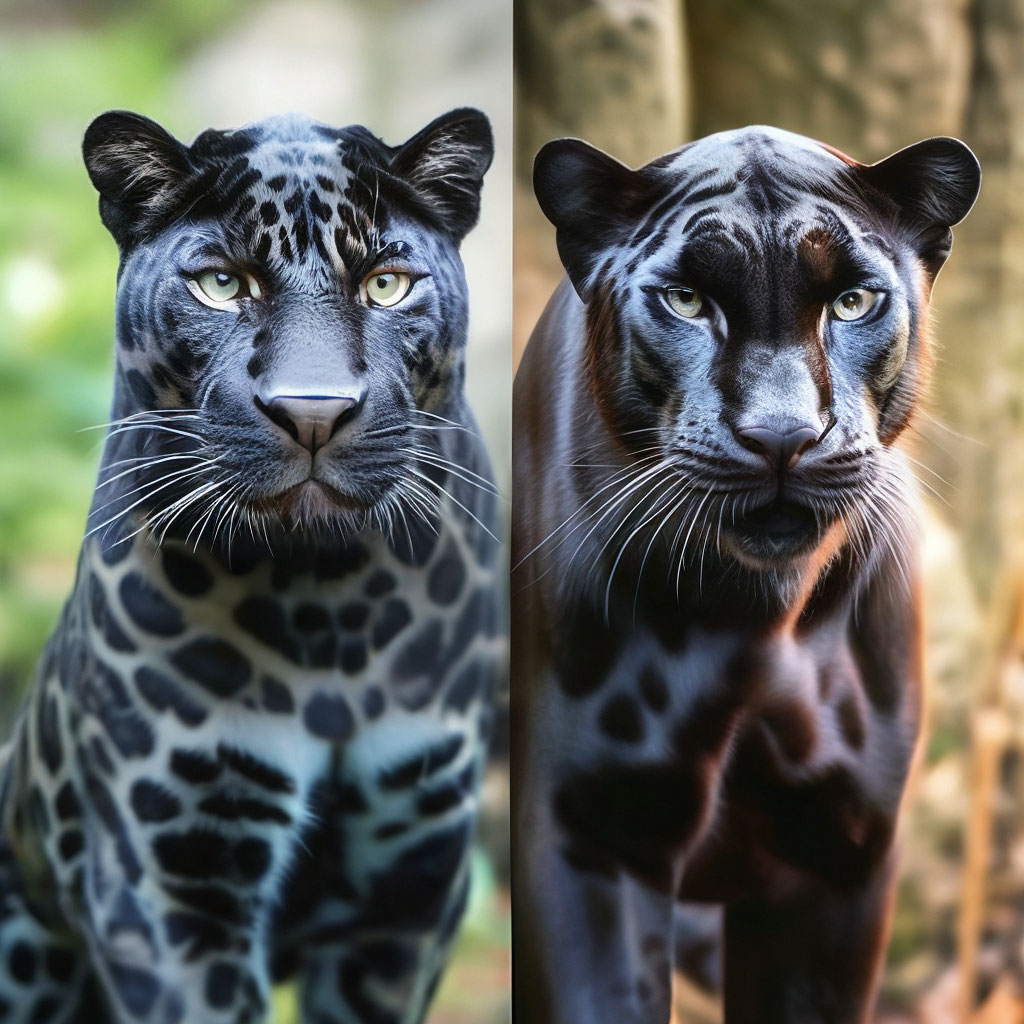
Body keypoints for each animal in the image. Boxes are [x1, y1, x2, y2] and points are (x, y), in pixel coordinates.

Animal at [0, 107, 503, 1024]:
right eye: (222, 285)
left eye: (386, 284)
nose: (314, 414)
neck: (330, 601)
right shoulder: (167, 890)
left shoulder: (409, 893)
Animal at [511, 125, 979, 1023]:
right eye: (688, 302)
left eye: (852, 302)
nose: (781, 435)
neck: (754, 617)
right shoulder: (590, 833)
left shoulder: (838, 853)